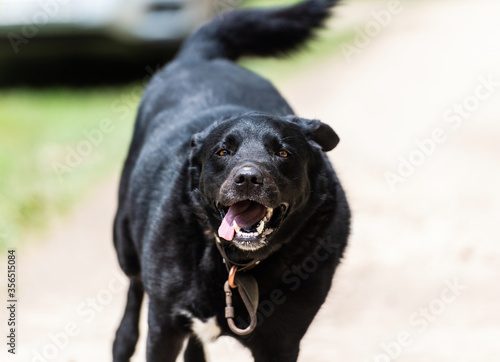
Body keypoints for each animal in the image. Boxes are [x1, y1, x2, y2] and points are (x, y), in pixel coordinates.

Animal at [112, 1, 348, 360]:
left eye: (283, 152)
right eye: (223, 151)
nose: (248, 178)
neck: (236, 264)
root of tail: (199, 58)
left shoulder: (281, 342)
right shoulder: (164, 327)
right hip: (124, 240)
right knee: (134, 288)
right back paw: (122, 340)